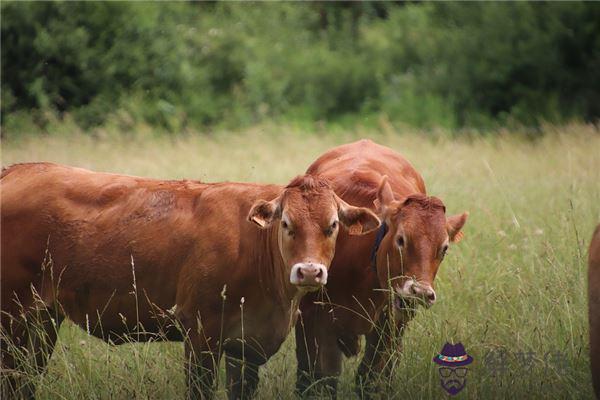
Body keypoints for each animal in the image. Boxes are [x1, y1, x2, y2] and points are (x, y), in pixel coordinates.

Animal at [2, 161, 380, 398]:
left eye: (332, 225)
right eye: (286, 223)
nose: (310, 271)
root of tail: (17, 171)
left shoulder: (244, 346)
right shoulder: (200, 332)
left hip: (42, 318)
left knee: (25, 378)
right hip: (12, 316)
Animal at [296, 141, 468, 396]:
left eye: (444, 248)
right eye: (401, 239)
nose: (419, 292)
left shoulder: (389, 327)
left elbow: (371, 379)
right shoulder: (313, 322)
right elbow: (320, 379)